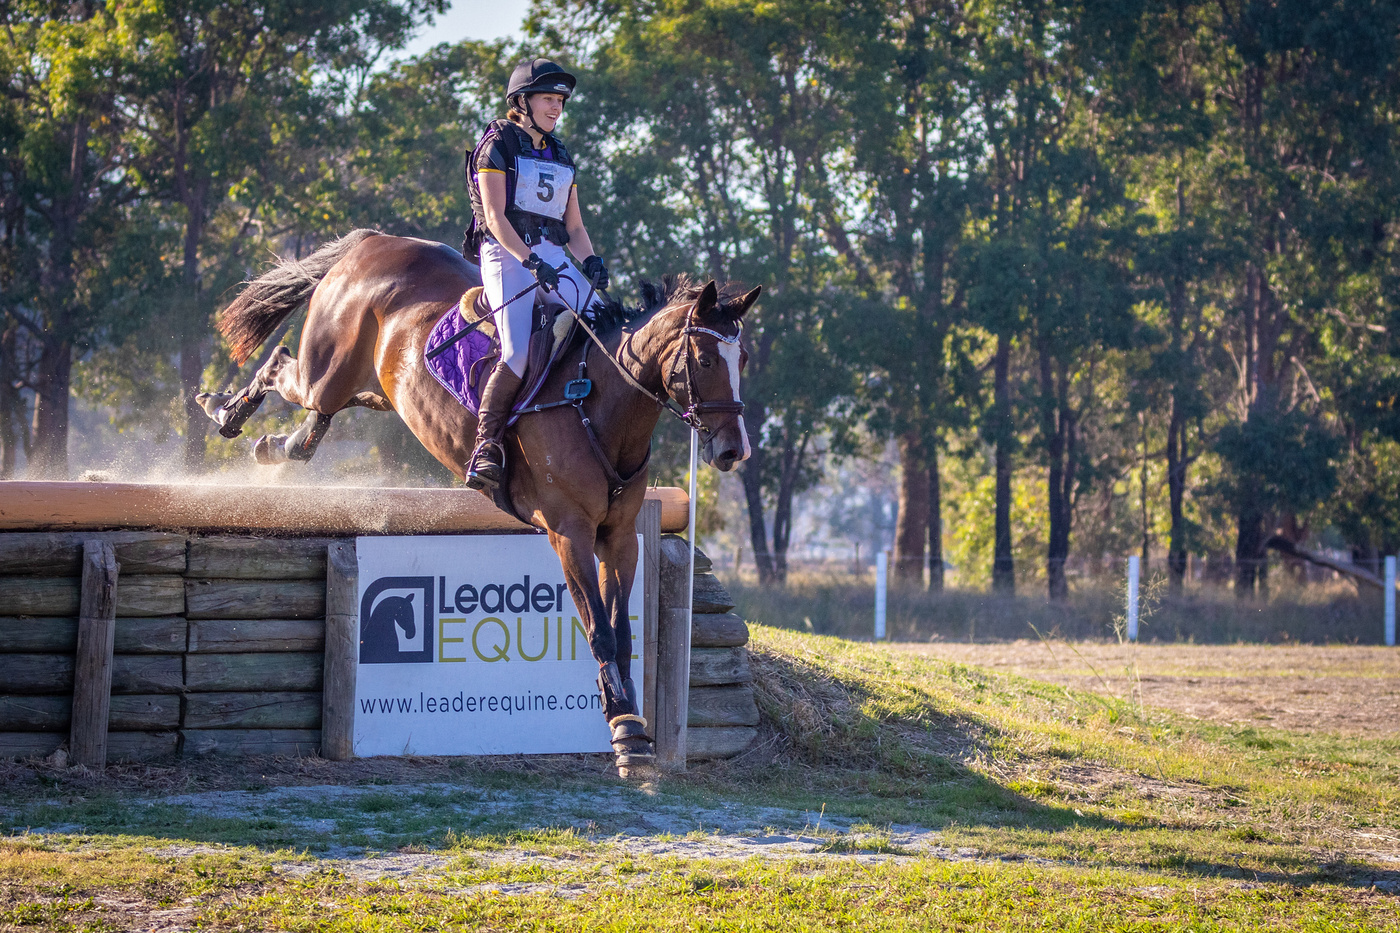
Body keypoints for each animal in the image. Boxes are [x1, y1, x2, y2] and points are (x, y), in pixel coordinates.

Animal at [197, 229, 759, 773]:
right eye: (706, 359)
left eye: (744, 360)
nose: (734, 451)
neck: (596, 404)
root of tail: (371, 240)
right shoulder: (569, 533)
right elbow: (599, 629)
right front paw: (622, 728)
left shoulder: (620, 538)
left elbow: (621, 632)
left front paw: (633, 725)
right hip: (329, 370)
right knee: (283, 368)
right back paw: (223, 410)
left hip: (374, 390)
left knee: (313, 425)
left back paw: (273, 444)